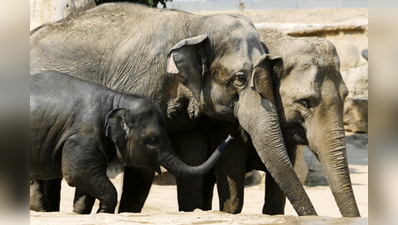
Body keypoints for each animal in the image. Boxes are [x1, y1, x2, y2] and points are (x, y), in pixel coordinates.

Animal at [30, 71, 233, 213]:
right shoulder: (83, 137)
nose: (230, 136)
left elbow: (84, 183)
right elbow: (77, 174)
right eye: (153, 140)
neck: (116, 99)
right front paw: (103, 212)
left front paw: (82, 212)